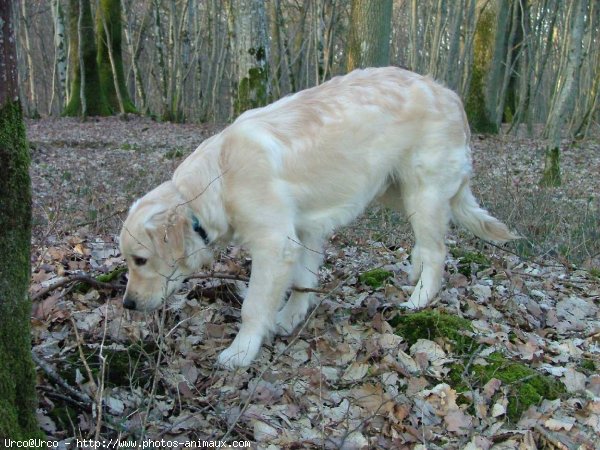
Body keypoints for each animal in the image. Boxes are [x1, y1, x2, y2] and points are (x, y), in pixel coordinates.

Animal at [119, 67, 516, 370]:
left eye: (140, 260)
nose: (127, 305)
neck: (219, 176)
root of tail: (450, 95)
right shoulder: (304, 231)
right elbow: (302, 280)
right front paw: (291, 318)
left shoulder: (274, 243)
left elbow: (253, 306)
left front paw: (241, 351)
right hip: (399, 192)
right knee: (425, 242)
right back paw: (414, 272)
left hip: (423, 191)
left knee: (437, 251)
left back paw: (419, 298)